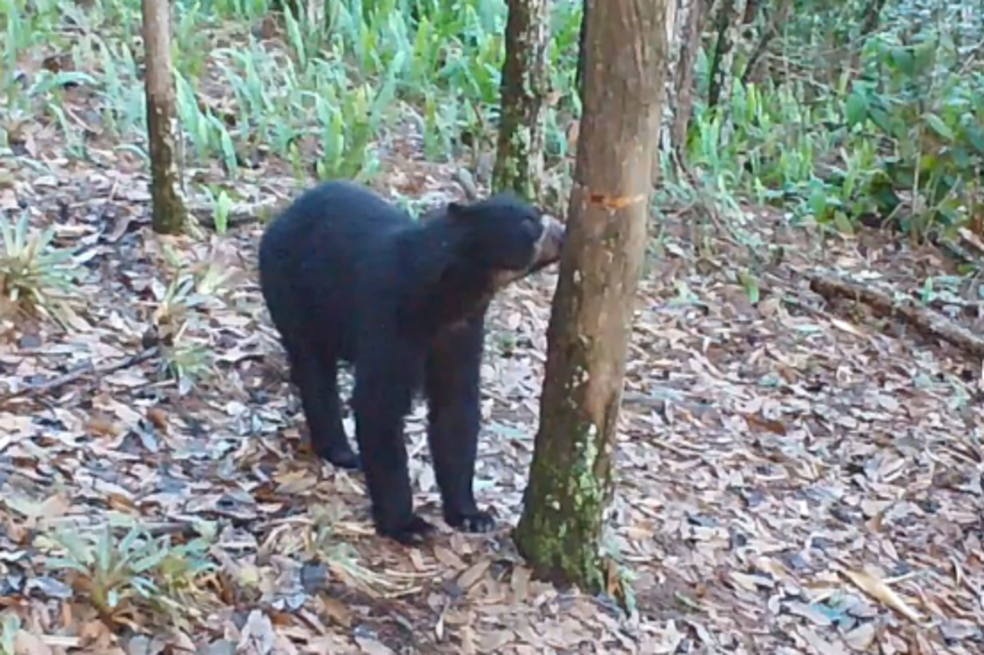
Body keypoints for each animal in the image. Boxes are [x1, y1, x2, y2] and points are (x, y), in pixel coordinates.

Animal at [258, 179, 565, 545]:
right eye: (529, 221)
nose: (563, 233)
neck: (448, 296)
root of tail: (281, 217)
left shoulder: (462, 331)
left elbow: (455, 408)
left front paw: (472, 515)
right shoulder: (390, 316)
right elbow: (379, 406)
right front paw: (407, 524)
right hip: (292, 292)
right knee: (315, 369)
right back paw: (341, 451)